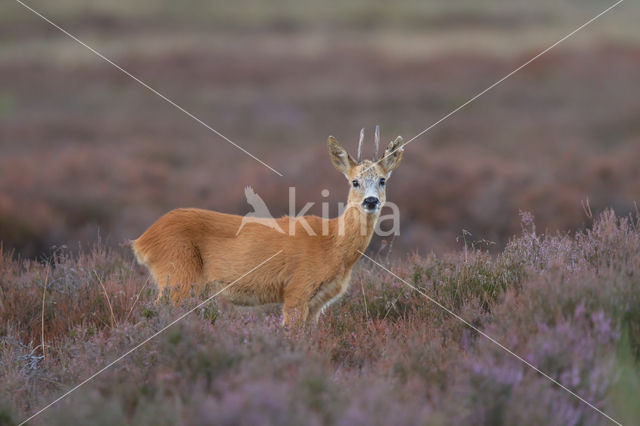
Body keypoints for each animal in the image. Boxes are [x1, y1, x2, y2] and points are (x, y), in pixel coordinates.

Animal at [132, 128, 404, 324]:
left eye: (382, 180)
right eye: (354, 181)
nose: (371, 201)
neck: (332, 244)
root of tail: (141, 241)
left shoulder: (318, 303)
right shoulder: (297, 288)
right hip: (178, 273)